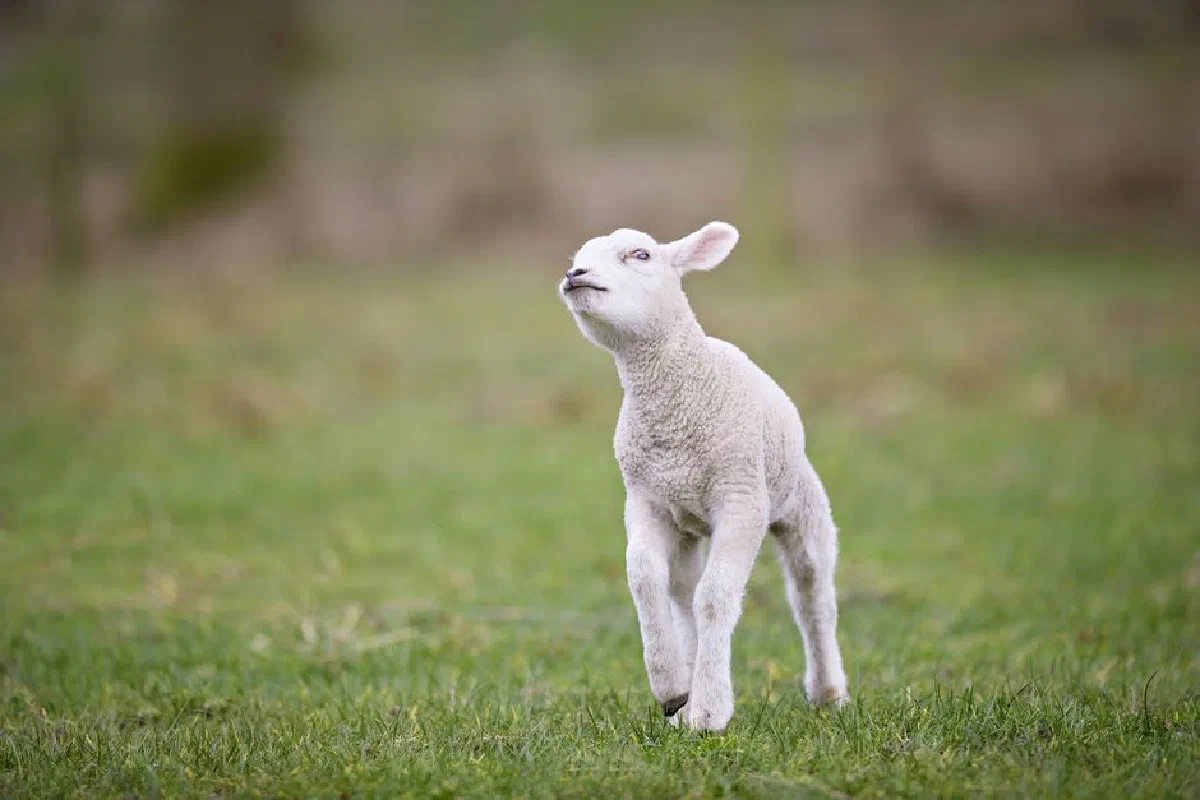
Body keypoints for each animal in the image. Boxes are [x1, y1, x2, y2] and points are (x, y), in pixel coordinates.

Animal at [557, 221, 849, 733]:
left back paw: (828, 692)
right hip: (688, 524)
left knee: (812, 592)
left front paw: (710, 712)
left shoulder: (742, 499)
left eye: (641, 254)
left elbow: (715, 597)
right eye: (579, 257)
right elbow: (644, 579)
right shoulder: (646, 498)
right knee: (682, 590)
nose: (576, 275)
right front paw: (673, 689)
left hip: (801, 502)